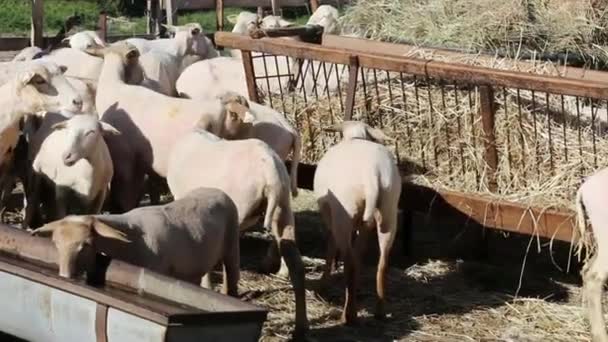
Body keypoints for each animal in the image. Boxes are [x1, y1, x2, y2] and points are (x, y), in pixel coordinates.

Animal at [31, 186, 240, 296]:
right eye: (56, 245)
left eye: (86, 246)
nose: (65, 276)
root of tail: (216, 190)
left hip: (232, 247)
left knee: (232, 277)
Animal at [314, 121, 404, 326]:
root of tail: (373, 176)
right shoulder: (364, 226)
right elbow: (360, 252)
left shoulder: (331, 217)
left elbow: (331, 247)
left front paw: (323, 284)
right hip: (388, 212)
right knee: (382, 263)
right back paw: (380, 311)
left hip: (344, 214)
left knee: (349, 263)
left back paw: (349, 315)